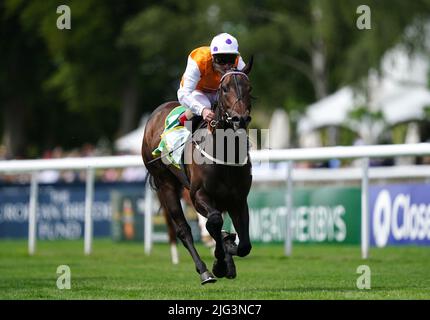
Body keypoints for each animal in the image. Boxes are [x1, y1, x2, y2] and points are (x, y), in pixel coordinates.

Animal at [141, 58, 255, 284]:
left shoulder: (238, 199)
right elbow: (214, 221)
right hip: (166, 185)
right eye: (224, 88)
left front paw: (228, 252)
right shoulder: (198, 195)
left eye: (249, 88)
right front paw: (219, 263)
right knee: (183, 230)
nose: (239, 119)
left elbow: (244, 245)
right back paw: (205, 271)